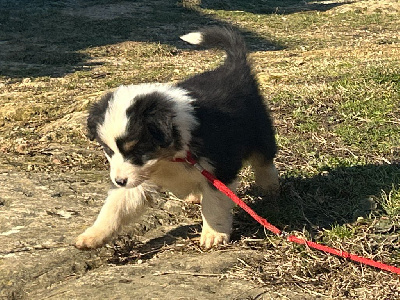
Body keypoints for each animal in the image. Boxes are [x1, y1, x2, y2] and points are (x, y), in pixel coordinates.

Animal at [76, 27, 280, 250]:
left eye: (138, 150)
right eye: (108, 151)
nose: (119, 181)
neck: (171, 155)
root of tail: (233, 67)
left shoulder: (220, 167)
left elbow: (214, 204)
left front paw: (213, 234)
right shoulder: (137, 178)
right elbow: (115, 205)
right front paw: (92, 235)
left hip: (260, 131)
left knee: (263, 161)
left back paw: (270, 187)